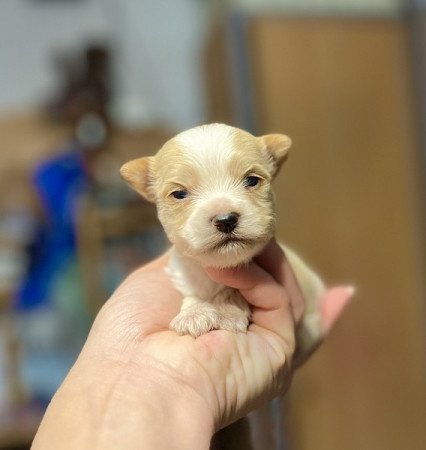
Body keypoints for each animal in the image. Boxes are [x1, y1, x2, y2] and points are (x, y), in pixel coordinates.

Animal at [121, 123, 324, 356]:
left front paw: (227, 312)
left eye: (252, 180)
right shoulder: (182, 270)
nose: (226, 220)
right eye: (179, 194)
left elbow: (231, 290)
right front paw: (193, 313)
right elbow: (192, 292)